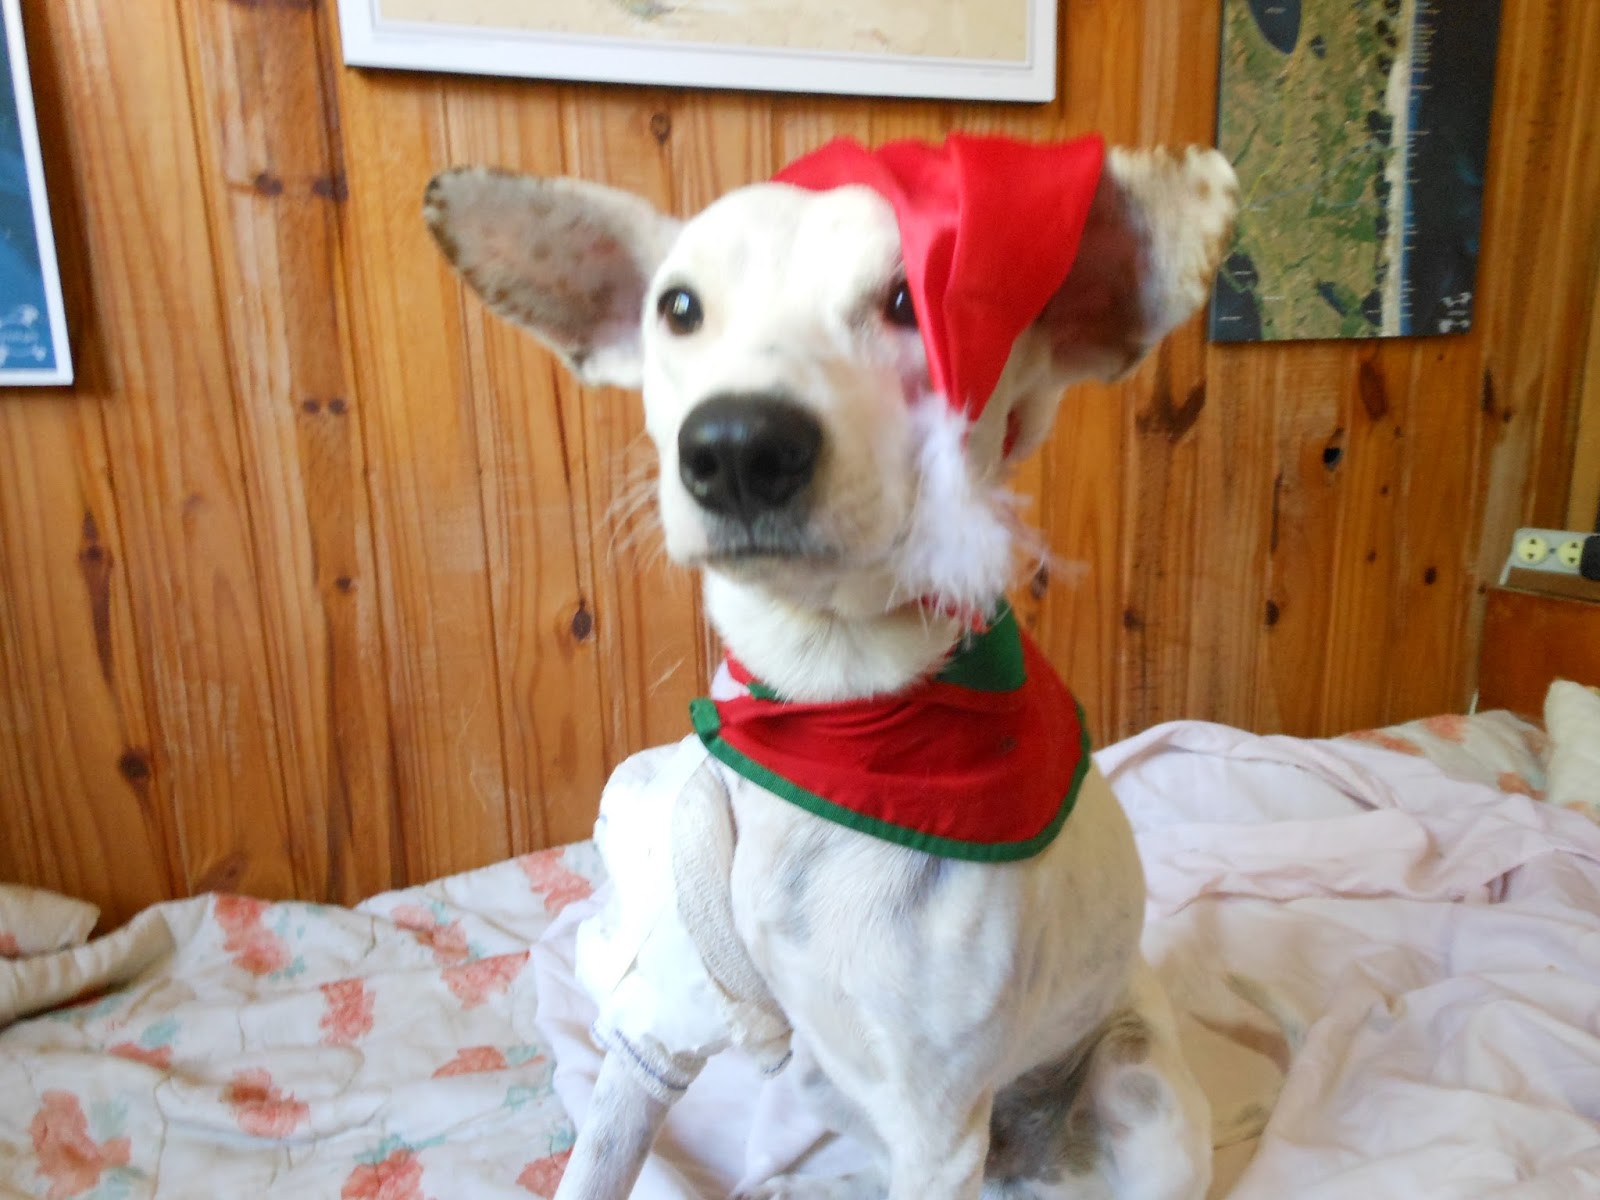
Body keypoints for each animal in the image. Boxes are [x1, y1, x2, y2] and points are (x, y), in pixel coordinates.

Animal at [425, 133, 1238, 1200]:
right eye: (677, 307)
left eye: (907, 301)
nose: (737, 446)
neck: (827, 713)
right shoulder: (653, 1041)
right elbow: (595, 1165)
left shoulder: (936, 1134)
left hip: (1137, 1091)